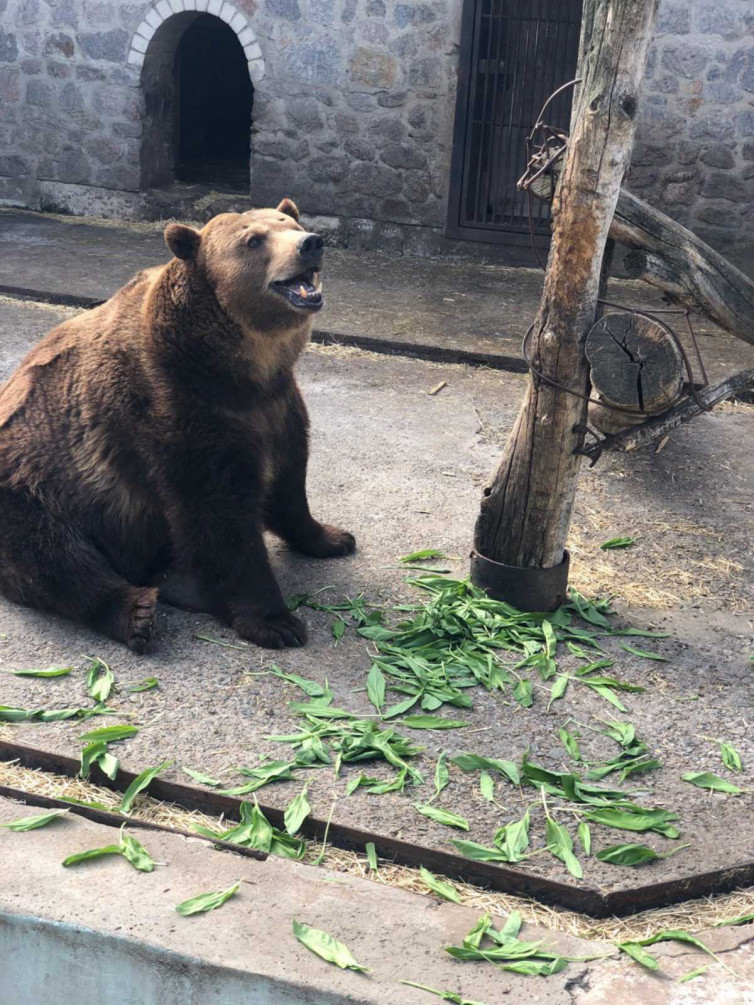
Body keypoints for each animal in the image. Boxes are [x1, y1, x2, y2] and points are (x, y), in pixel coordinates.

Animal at [0, 197, 355, 651]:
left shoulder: (277, 406)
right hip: (34, 491)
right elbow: (220, 514)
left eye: (291, 223)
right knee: (55, 558)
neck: (237, 369)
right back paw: (136, 612)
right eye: (253, 240)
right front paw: (276, 622)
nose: (311, 244)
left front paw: (332, 537)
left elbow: (289, 482)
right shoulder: (175, 410)